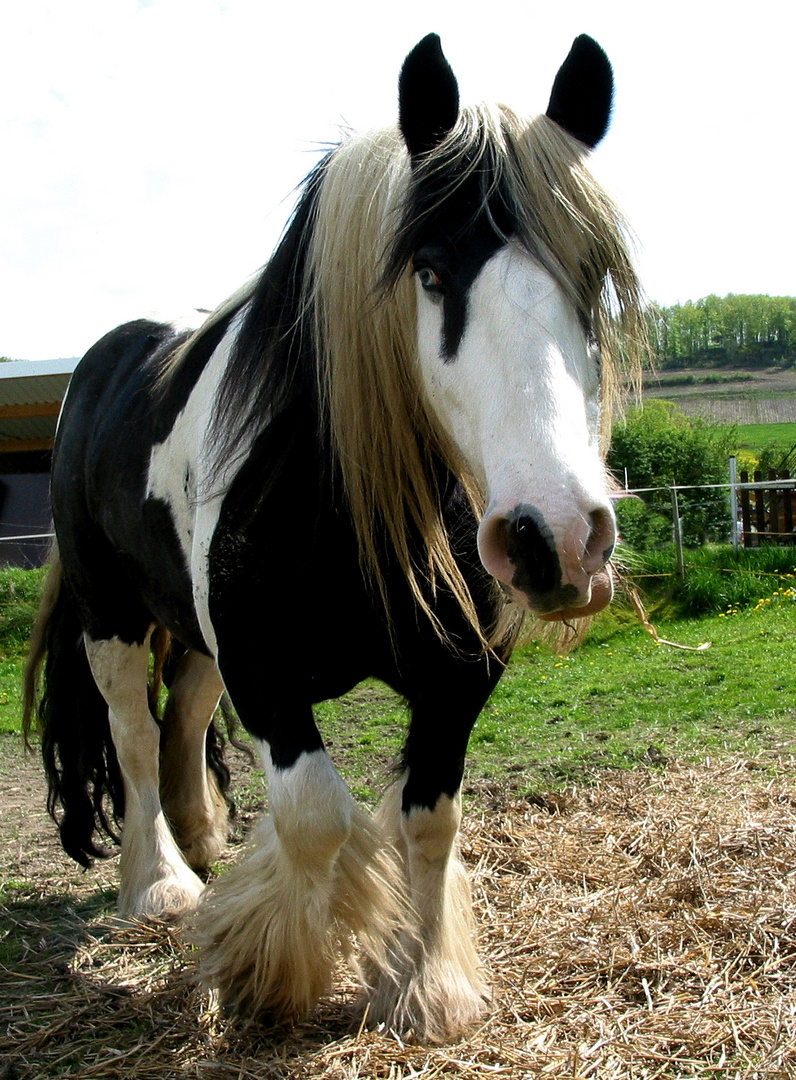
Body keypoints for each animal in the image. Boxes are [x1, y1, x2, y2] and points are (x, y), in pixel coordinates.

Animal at [24, 33, 648, 1041]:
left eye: (592, 279)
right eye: (429, 271)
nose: (553, 537)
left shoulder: (456, 678)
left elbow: (427, 818)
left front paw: (424, 984)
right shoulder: (264, 664)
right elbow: (320, 814)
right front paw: (271, 969)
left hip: (195, 633)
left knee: (183, 714)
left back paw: (202, 836)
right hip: (110, 615)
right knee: (131, 730)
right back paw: (161, 881)